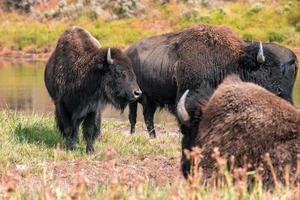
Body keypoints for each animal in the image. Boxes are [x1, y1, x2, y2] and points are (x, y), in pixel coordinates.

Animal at [126, 24, 298, 138]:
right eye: (266, 69)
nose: (280, 91)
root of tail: (128, 51)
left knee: (141, 116)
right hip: (143, 98)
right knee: (144, 116)